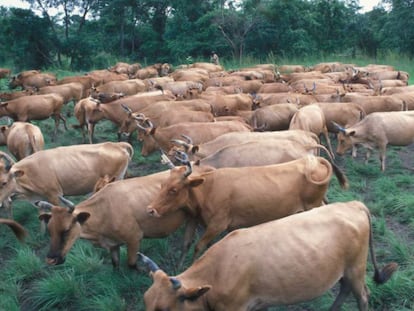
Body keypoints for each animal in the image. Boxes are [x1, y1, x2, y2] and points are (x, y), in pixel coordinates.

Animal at [34, 169, 199, 270]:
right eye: (49, 230)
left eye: (67, 229)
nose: (50, 260)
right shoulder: (113, 245)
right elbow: (115, 264)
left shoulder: (134, 238)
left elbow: (132, 264)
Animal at [142, 201, 398, 310]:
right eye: (146, 300)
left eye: (165, 310)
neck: (218, 272)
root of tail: (352, 204)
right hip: (344, 270)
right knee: (344, 289)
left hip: (356, 268)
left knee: (362, 296)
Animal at [147, 154, 348, 260]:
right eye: (162, 184)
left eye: (173, 190)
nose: (150, 210)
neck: (209, 188)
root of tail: (313, 159)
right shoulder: (197, 220)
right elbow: (187, 244)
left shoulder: (218, 224)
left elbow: (198, 247)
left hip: (312, 206)